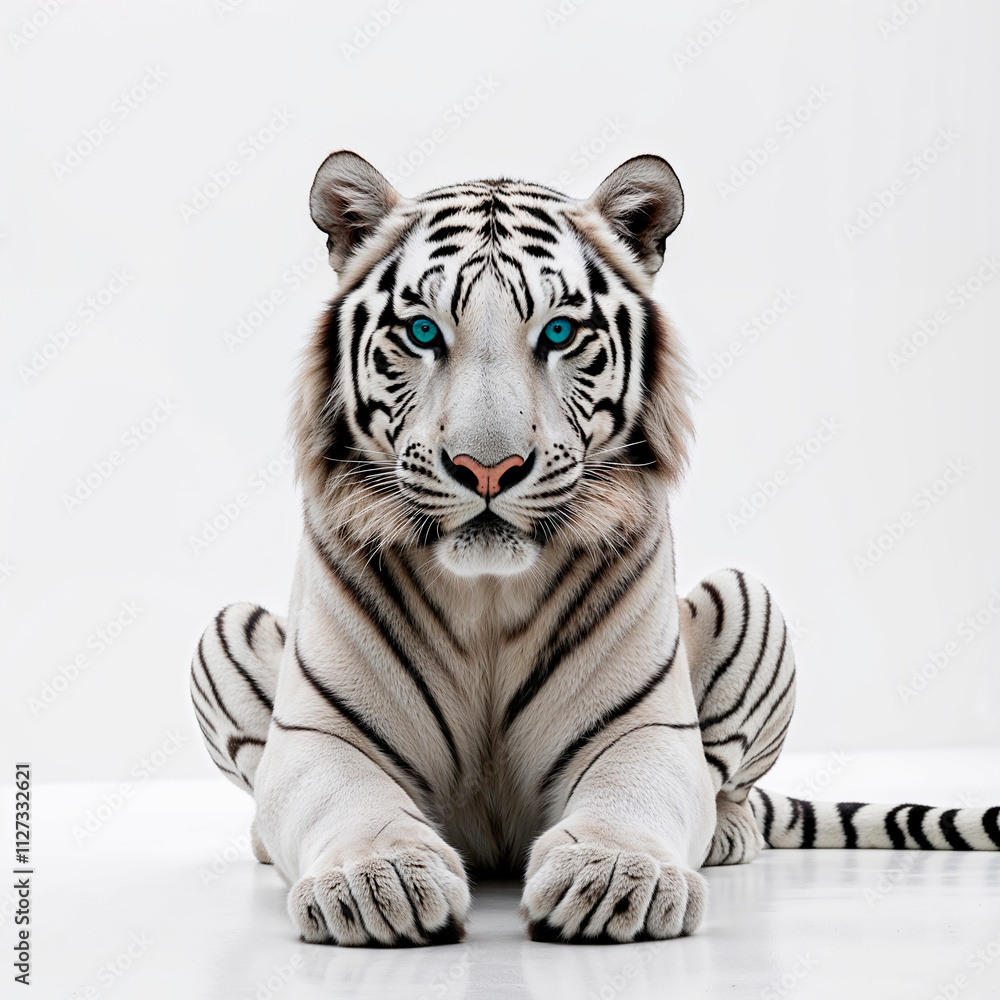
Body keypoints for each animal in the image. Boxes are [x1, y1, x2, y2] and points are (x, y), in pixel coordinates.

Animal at [189, 150, 1000, 947]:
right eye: (422, 332)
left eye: (557, 334)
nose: (489, 468)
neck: (486, 593)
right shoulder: (317, 734)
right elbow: (350, 802)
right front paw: (378, 878)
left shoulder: (645, 727)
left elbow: (631, 799)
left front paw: (611, 878)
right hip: (224, 629)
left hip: (749, 596)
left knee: (729, 784)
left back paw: (726, 833)